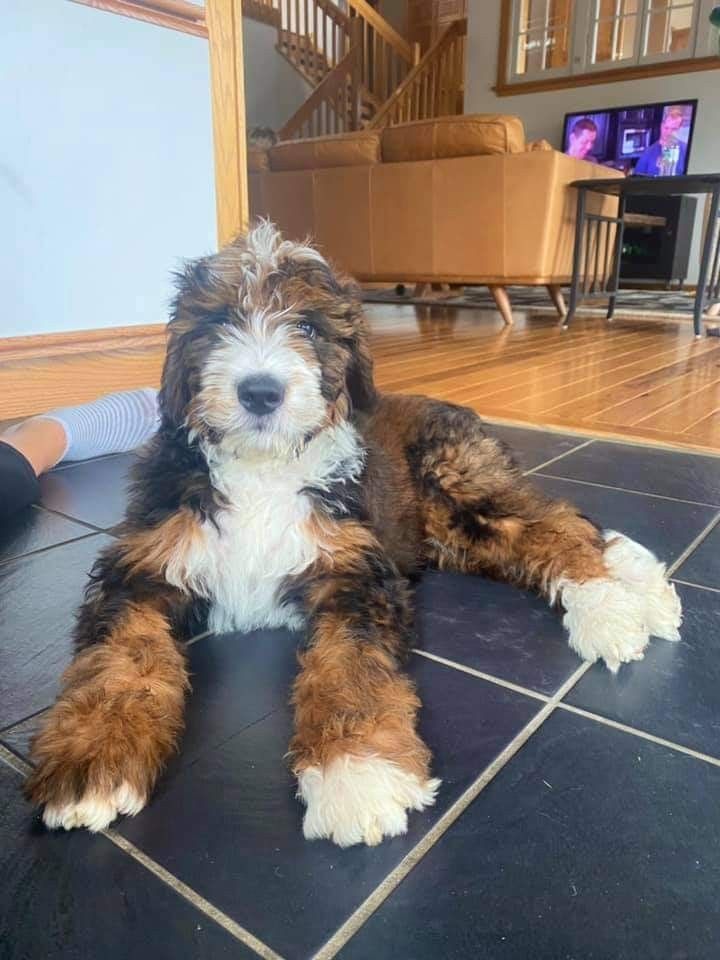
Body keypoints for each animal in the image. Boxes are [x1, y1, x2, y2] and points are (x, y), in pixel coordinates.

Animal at [25, 221, 684, 844]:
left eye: (308, 327)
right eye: (217, 322)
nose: (260, 392)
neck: (262, 469)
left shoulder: (355, 573)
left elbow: (350, 666)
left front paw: (356, 772)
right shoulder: (141, 567)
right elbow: (118, 658)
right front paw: (95, 758)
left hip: (456, 485)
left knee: (556, 523)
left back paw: (613, 609)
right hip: (447, 532)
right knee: (546, 528)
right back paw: (640, 588)